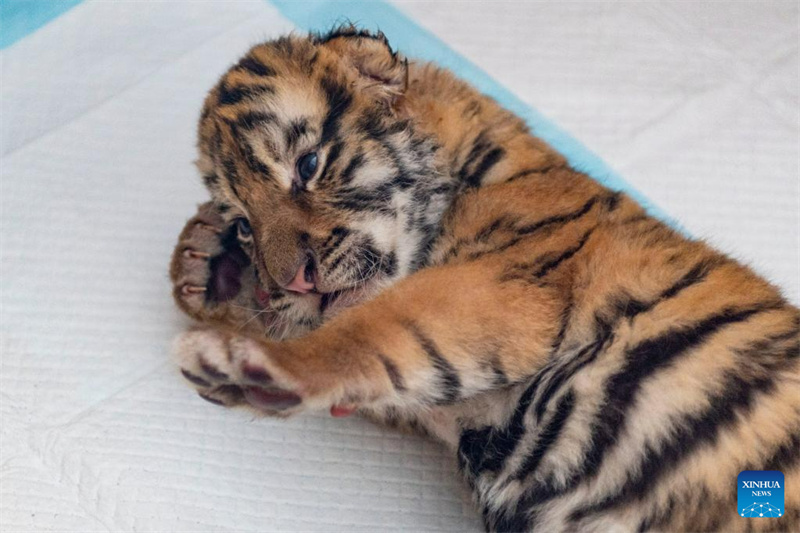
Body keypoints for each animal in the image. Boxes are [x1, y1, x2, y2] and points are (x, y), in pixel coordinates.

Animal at [169, 27, 800, 532]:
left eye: (307, 165)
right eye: (245, 225)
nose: (292, 281)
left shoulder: (504, 287)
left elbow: (375, 327)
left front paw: (247, 362)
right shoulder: (454, 406)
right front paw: (209, 263)